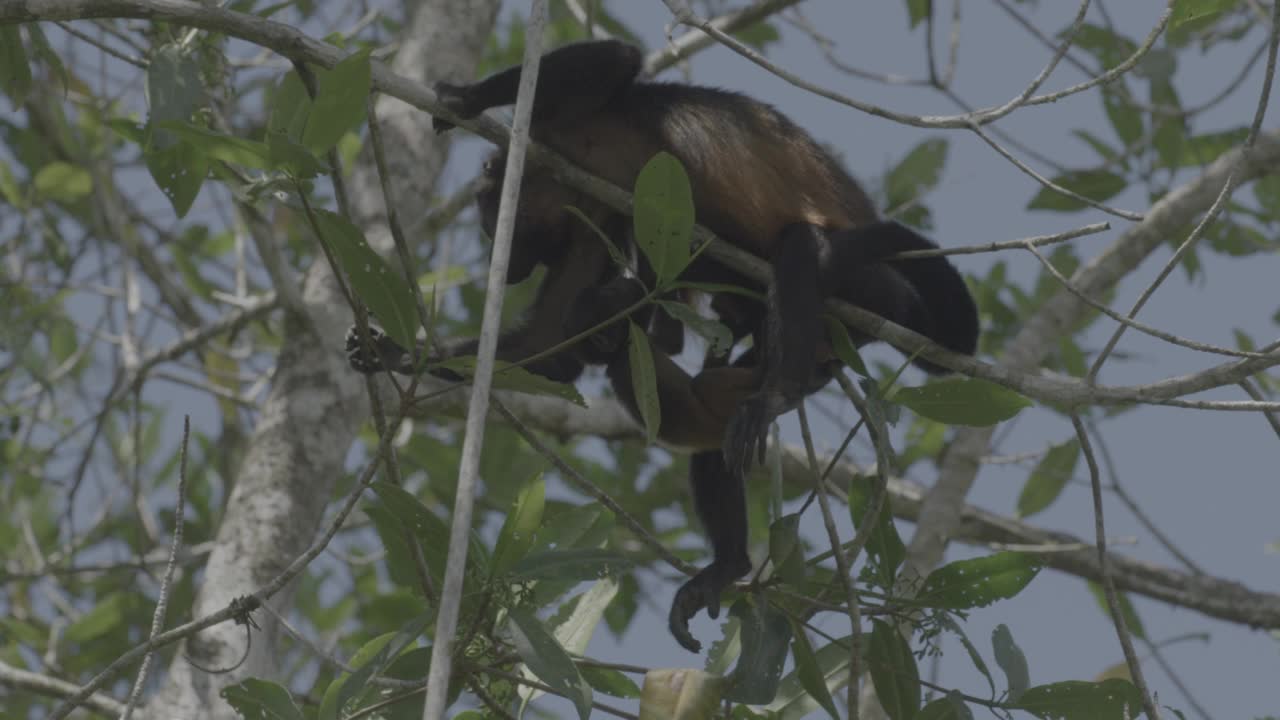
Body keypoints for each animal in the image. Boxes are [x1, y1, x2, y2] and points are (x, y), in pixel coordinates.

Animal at [345, 41, 972, 653]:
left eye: (486, 216)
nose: (499, 251)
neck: (569, 170)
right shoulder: (589, 215)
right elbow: (552, 340)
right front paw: (395, 354)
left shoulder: (568, 132)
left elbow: (615, 59)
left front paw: (464, 96)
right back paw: (728, 561)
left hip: (866, 286)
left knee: (800, 250)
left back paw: (777, 387)